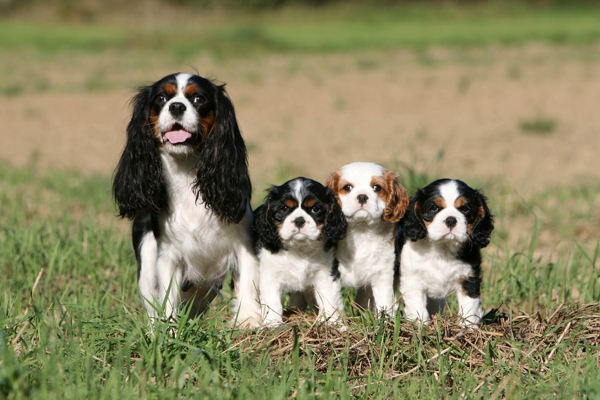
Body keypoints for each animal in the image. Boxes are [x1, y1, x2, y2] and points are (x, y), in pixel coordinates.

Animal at [112, 72, 260, 328]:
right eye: (161, 98)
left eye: (199, 99)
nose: (177, 106)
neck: (186, 172)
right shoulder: (168, 255)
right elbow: (166, 296)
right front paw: (169, 330)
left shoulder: (244, 243)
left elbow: (248, 282)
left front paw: (248, 320)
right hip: (147, 259)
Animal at [253, 178, 346, 328]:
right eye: (284, 208)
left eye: (315, 209)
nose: (299, 220)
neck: (299, 248)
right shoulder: (270, 275)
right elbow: (273, 301)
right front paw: (273, 323)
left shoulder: (326, 274)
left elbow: (329, 299)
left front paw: (331, 323)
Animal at [326, 162, 410, 316]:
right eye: (347, 187)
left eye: (377, 188)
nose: (362, 197)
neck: (361, 230)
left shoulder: (383, 273)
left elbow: (384, 301)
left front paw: (384, 320)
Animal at [400, 180, 494, 326]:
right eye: (434, 208)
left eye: (465, 209)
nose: (451, 220)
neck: (443, 247)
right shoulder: (412, 280)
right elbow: (417, 306)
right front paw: (421, 326)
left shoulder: (469, 278)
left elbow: (469, 304)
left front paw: (467, 326)